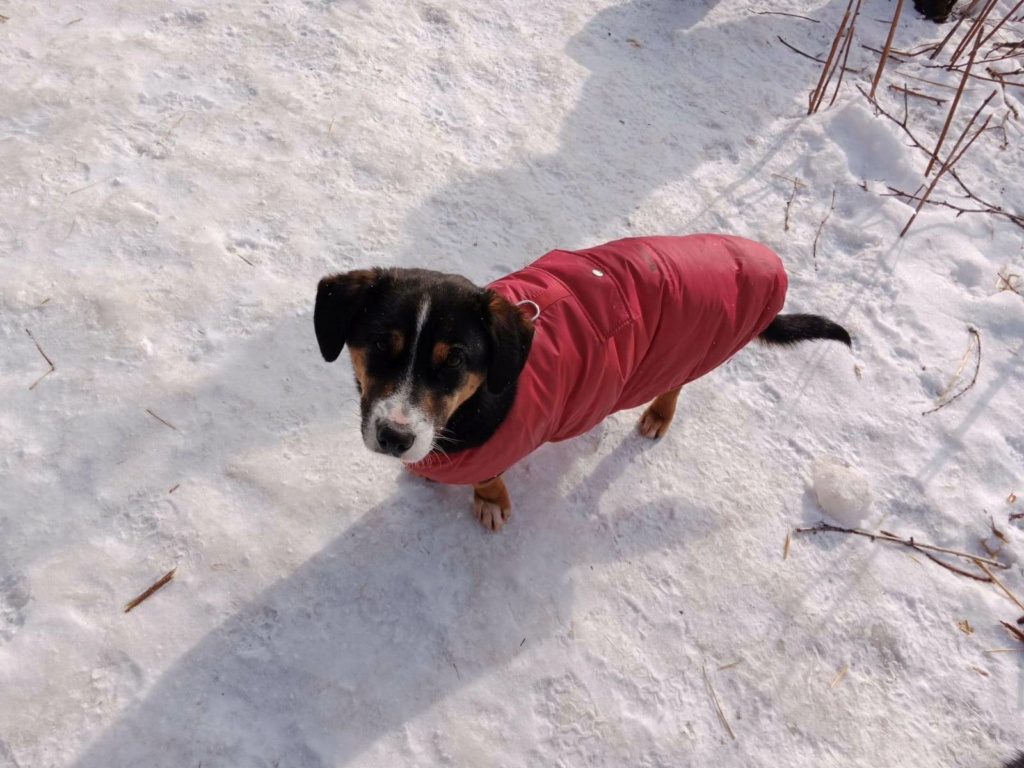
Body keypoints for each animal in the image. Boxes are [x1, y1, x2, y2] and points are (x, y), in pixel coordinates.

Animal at [315, 237, 851, 532]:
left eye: (457, 361)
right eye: (380, 344)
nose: (395, 437)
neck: (468, 409)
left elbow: (488, 479)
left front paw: (491, 502)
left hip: (688, 355)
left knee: (676, 386)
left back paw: (659, 414)